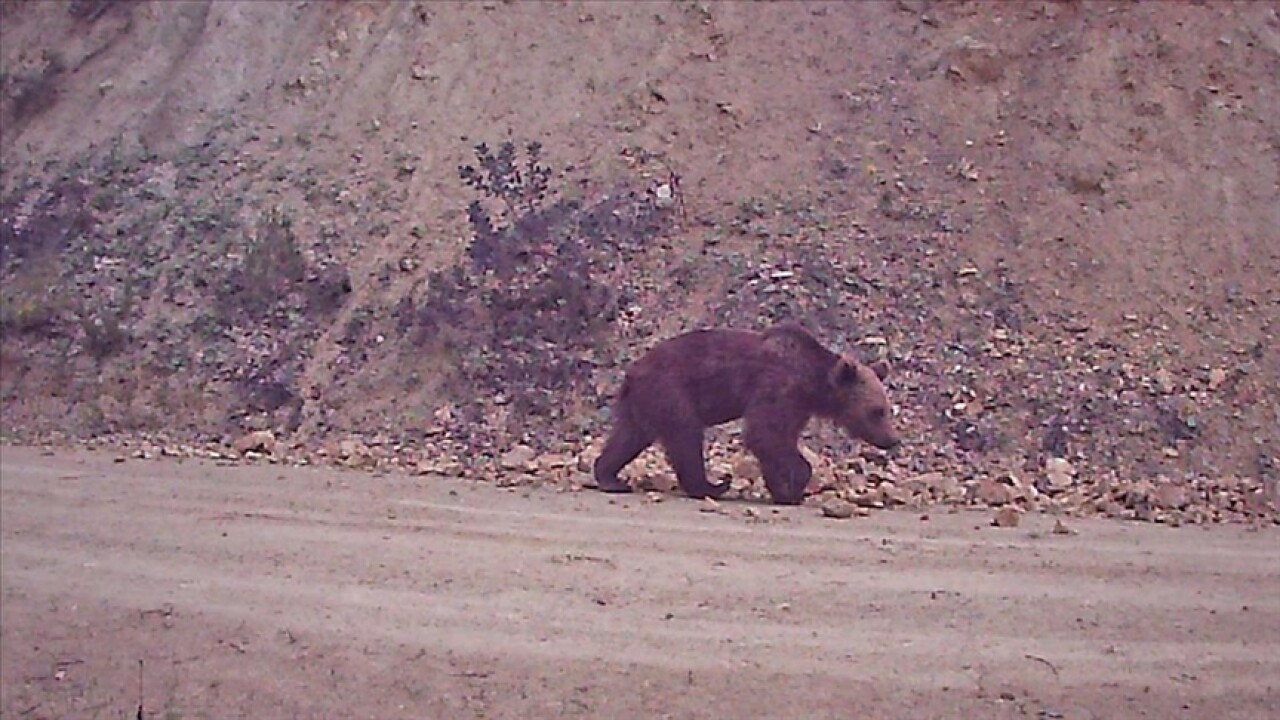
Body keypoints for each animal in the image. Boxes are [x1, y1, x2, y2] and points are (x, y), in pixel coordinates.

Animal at [591, 319, 901, 504]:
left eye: (888, 410)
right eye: (877, 411)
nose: (891, 440)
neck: (812, 381)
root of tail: (632, 372)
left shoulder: (797, 405)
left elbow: (774, 441)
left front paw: (782, 489)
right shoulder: (778, 387)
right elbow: (766, 434)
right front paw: (796, 486)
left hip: (643, 403)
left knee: (629, 436)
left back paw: (610, 477)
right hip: (672, 391)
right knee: (686, 436)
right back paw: (712, 485)